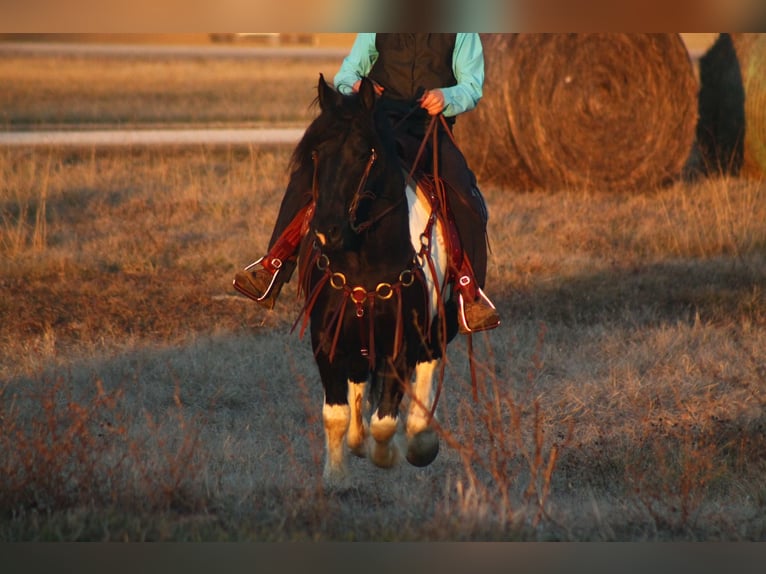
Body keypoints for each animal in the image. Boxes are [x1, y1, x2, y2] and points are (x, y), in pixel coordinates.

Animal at [296, 74, 460, 484]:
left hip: (435, 326)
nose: (326, 231)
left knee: (427, 369)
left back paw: (420, 439)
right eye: (315, 154)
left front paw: (391, 453)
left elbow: (385, 422)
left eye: (362, 153)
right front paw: (337, 472)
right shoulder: (326, 338)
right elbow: (336, 414)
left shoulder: (400, 341)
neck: (365, 264)